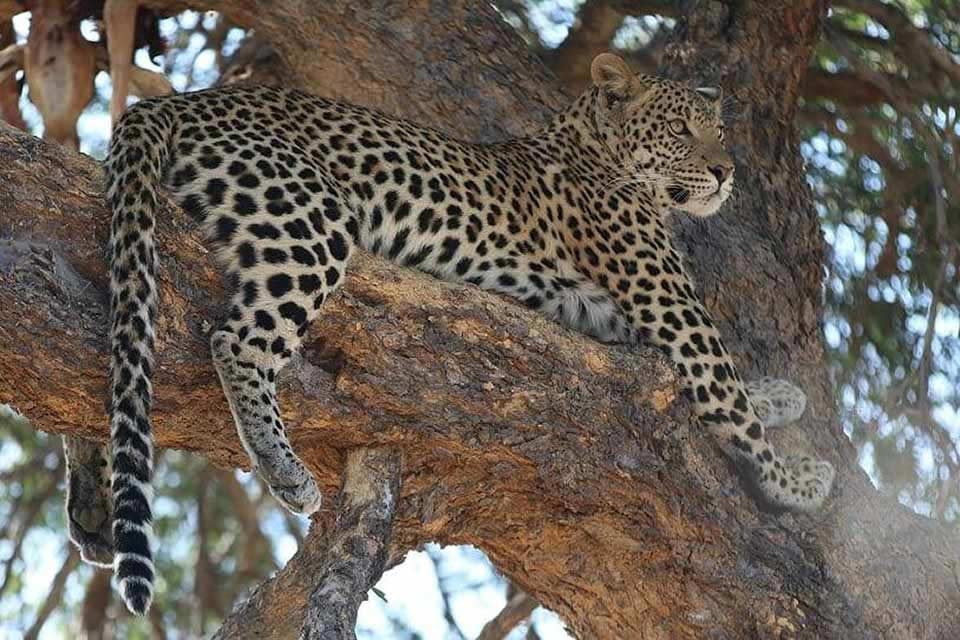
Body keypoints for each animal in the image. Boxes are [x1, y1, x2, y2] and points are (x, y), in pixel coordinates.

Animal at [67, 52, 835, 615]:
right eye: (682, 132)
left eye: (720, 131)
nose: (727, 170)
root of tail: (172, 101)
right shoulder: (672, 308)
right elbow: (727, 396)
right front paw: (794, 482)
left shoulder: (608, 316)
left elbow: (731, 389)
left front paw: (783, 397)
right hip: (309, 219)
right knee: (237, 339)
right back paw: (285, 470)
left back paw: (92, 508)